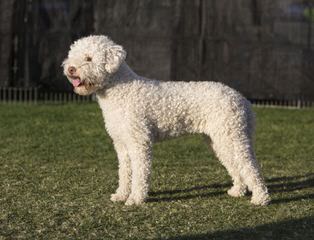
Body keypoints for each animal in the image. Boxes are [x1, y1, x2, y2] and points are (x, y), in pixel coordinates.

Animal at [63, 35, 270, 206]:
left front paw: (135, 199)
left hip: (232, 136)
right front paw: (121, 195)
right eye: (72, 55)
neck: (121, 91)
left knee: (250, 166)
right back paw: (237, 190)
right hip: (220, 140)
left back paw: (261, 198)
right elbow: (125, 172)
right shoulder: (122, 144)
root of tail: (242, 100)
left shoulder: (139, 142)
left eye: (88, 58)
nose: (70, 69)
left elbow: (140, 173)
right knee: (236, 166)